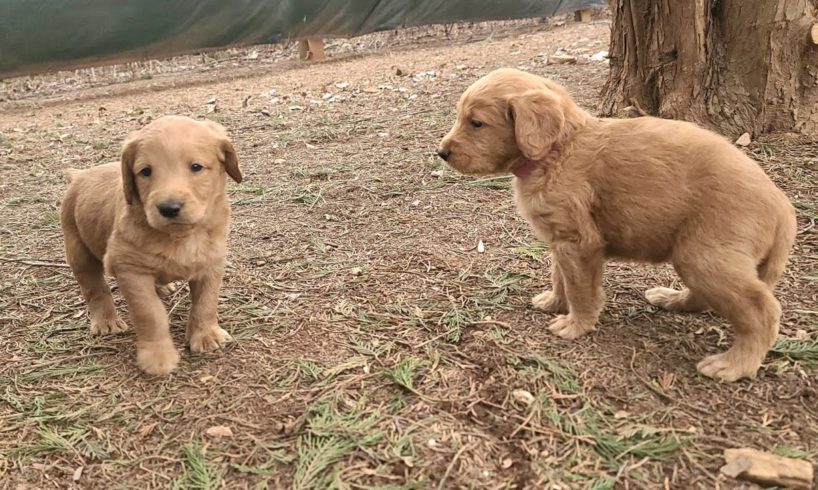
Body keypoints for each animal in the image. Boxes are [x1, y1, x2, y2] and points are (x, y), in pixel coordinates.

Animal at [61, 116, 242, 376]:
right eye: (145, 171)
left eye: (196, 167)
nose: (169, 208)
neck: (179, 237)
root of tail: (81, 175)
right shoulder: (129, 268)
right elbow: (151, 313)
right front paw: (158, 356)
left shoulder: (211, 261)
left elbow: (206, 301)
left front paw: (206, 335)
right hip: (78, 250)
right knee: (94, 288)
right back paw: (106, 321)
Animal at [436, 68, 792, 382]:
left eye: (476, 123)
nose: (441, 152)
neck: (558, 151)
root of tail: (783, 207)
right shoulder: (560, 240)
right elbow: (559, 276)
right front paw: (554, 302)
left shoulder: (579, 242)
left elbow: (579, 288)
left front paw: (576, 324)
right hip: (701, 257)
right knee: (707, 297)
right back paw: (671, 299)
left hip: (705, 256)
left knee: (762, 311)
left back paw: (734, 364)